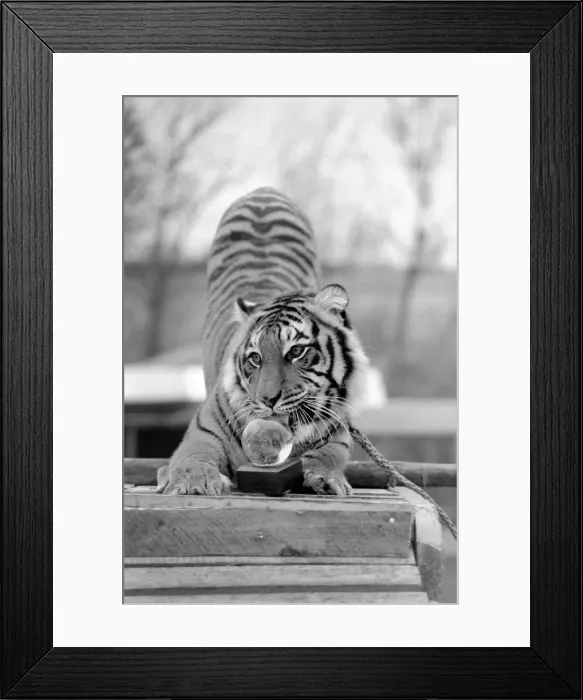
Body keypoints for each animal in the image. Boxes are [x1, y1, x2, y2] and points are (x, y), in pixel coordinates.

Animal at [156, 187, 368, 497]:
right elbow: (194, 457)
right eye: (255, 358)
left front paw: (327, 478)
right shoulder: (203, 431)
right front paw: (193, 482)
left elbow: (326, 455)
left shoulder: (339, 432)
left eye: (296, 351)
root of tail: (264, 191)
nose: (267, 400)